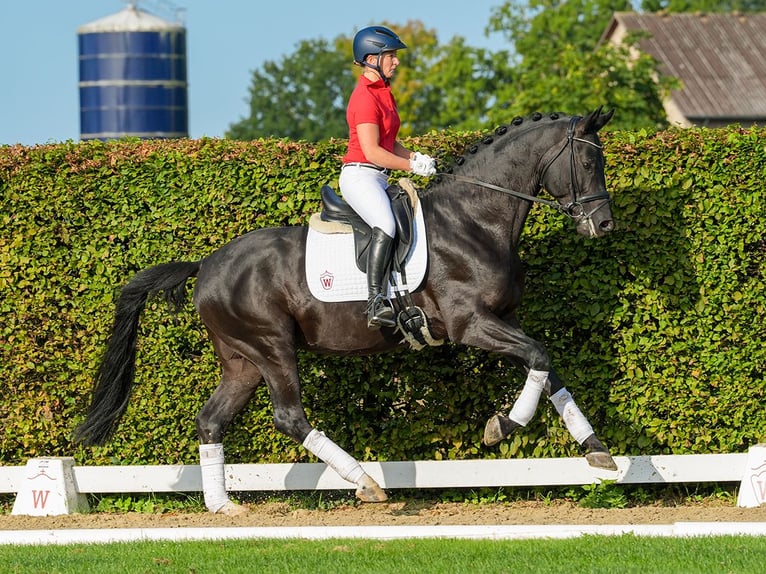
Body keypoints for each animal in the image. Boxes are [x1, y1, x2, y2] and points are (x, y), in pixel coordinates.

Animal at [75, 108, 620, 516]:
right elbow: (540, 357)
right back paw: (365, 483)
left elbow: (546, 368)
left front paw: (597, 451)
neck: (475, 219)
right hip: (271, 346)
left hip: (241, 359)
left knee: (211, 421)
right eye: (587, 161)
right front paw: (503, 427)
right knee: (289, 417)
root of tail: (206, 264)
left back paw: (223, 506)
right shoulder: (471, 324)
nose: (604, 225)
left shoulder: (504, 321)